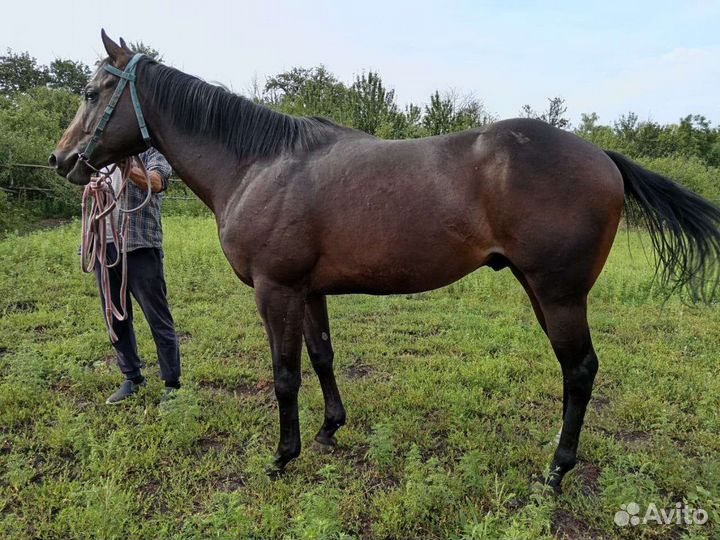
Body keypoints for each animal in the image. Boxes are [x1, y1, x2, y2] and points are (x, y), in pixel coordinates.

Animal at [50, 31, 720, 492]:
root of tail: (603, 156)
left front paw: (282, 456)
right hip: (540, 289)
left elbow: (284, 375)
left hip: (559, 296)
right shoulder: (308, 290)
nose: (62, 160)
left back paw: (555, 471)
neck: (259, 163)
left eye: (91, 92)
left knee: (579, 372)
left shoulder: (275, 289)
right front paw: (328, 430)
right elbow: (322, 358)